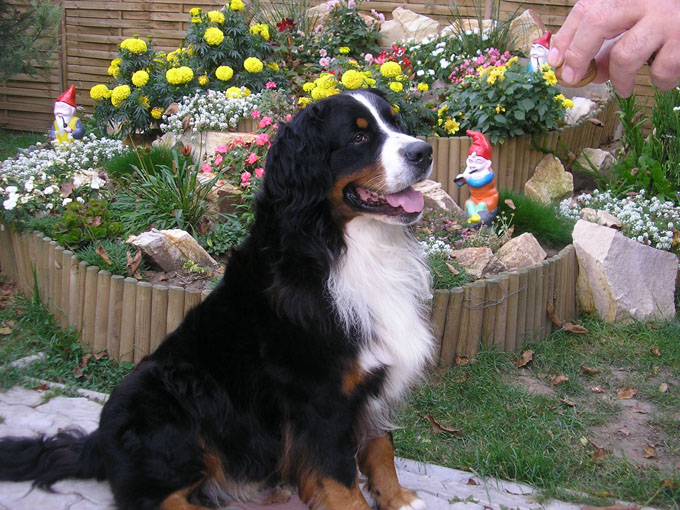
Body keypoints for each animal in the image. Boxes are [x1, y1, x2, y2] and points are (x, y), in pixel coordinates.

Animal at [0, 89, 434, 510]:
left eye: (396, 123)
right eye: (358, 137)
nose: (424, 151)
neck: (343, 247)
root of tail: (99, 442)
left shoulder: (371, 380)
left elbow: (380, 447)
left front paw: (397, 499)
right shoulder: (321, 400)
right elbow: (341, 482)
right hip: (166, 397)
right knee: (150, 497)